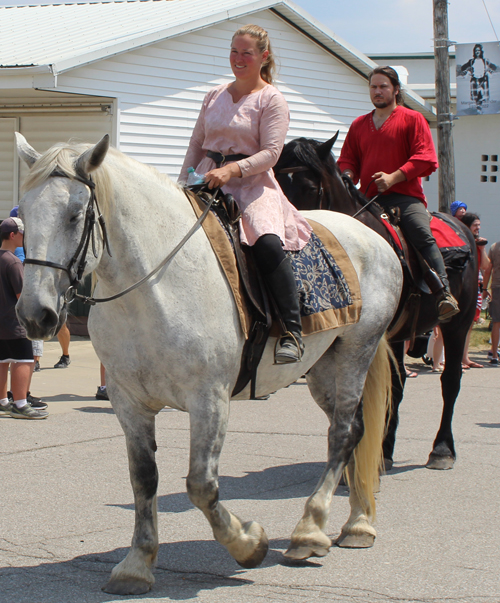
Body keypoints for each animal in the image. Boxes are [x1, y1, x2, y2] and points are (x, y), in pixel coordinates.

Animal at [13, 134, 402, 596]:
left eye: (75, 215)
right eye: (24, 213)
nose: (35, 315)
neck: (156, 288)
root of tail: (372, 236)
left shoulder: (210, 400)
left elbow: (200, 486)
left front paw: (249, 544)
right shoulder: (128, 403)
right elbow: (143, 478)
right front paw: (137, 564)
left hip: (357, 351)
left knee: (344, 433)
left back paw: (311, 531)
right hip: (324, 367)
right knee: (355, 431)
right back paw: (356, 523)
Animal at [276, 134, 478, 470]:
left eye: (308, 187)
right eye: (276, 185)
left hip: (457, 325)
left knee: (450, 380)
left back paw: (442, 450)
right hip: (397, 336)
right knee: (397, 386)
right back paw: (385, 450)